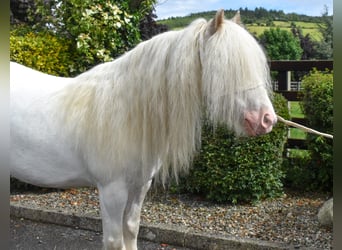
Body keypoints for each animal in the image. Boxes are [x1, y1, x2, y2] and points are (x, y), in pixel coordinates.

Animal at [11, 10, 278, 250]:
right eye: (224, 67)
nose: (266, 119)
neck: (127, 110)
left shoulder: (140, 186)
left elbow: (131, 229)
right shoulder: (111, 190)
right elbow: (114, 240)